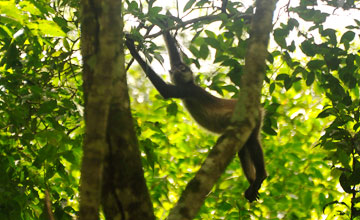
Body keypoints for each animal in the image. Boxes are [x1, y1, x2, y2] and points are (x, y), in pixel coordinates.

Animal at [124, 31, 268, 202]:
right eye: (177, 68)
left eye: (183, 69)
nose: (178, 71)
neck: (188, 83)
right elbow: (173, 52)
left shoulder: (189, 90)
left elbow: (166, 91)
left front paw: (132, 48)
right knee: (243, 148)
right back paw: (253, 185)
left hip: (253, 117)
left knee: (252, 141)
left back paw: (260, 177)